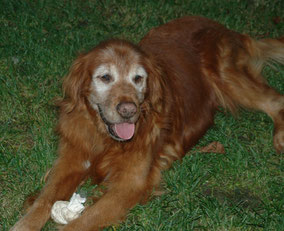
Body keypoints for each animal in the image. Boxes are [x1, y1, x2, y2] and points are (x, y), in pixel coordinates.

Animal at [11, 16, 284, 231]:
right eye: (105, 77)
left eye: (138, 78)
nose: (128, 110)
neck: (105, 140)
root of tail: (226, 28)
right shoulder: (72, 159)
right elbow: (44, 199)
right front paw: (24, 223)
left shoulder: (130, 184)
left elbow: (83, 221)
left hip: (228, 79)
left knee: (275, 100)